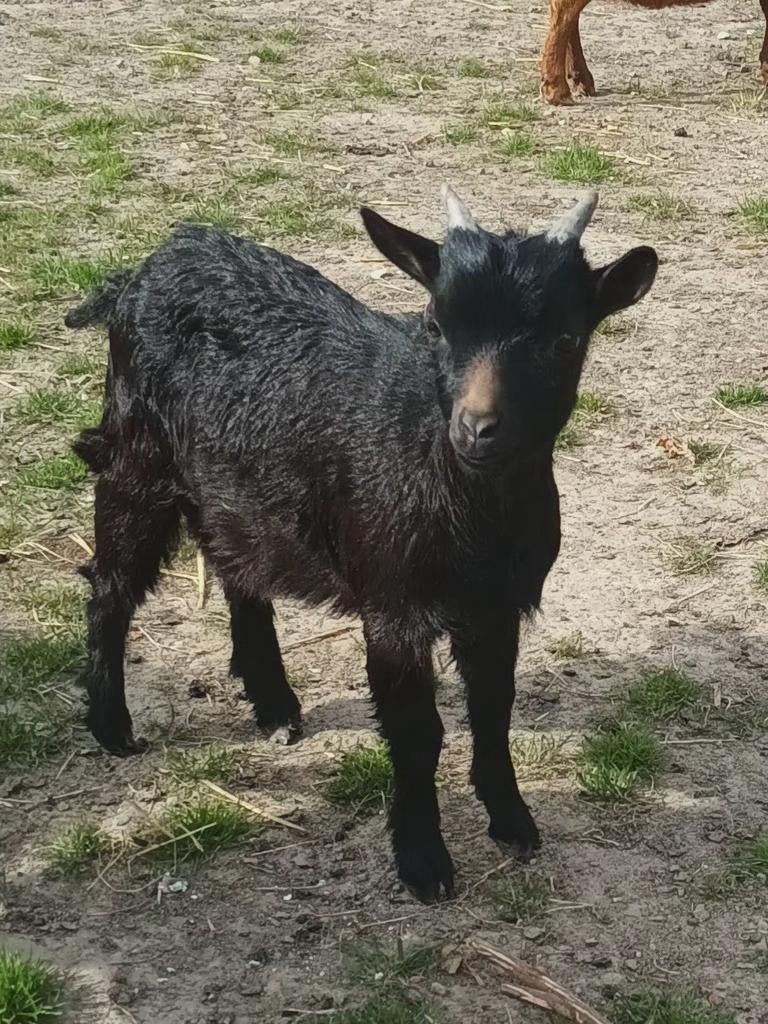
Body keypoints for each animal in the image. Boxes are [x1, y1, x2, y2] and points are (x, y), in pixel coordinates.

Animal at [66, 188, 657, 902]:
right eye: (434, 325)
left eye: (564, 339)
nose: (476, 429)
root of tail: (147, 267)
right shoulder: (393, 606)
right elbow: (417, 731)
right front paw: (424, 860)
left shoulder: (495, 606)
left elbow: (493, 709)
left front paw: (513, 820)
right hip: (137, 455)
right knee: (110, 584)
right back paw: (113, 726)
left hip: (237, 482)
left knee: (239, 565)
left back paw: (274, 705)